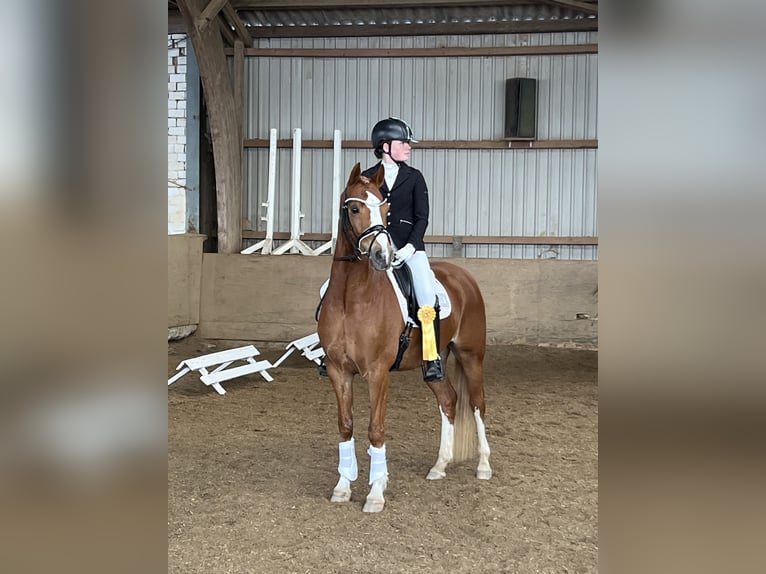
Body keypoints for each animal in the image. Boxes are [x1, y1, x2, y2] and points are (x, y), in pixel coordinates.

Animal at [317, 162, 492, 513]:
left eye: (386, 210)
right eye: (354, 208)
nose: (382, 256)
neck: (351, 299)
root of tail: (464, 276)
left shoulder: (377, 373)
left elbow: (376, 429)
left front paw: (375, 493)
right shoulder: (339, 371)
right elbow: (346, 426)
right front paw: (343, 487)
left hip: (471, 355)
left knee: (477, 403)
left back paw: (483, 466)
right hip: (433, 362)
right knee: (449, 400)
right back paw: (439, 466)